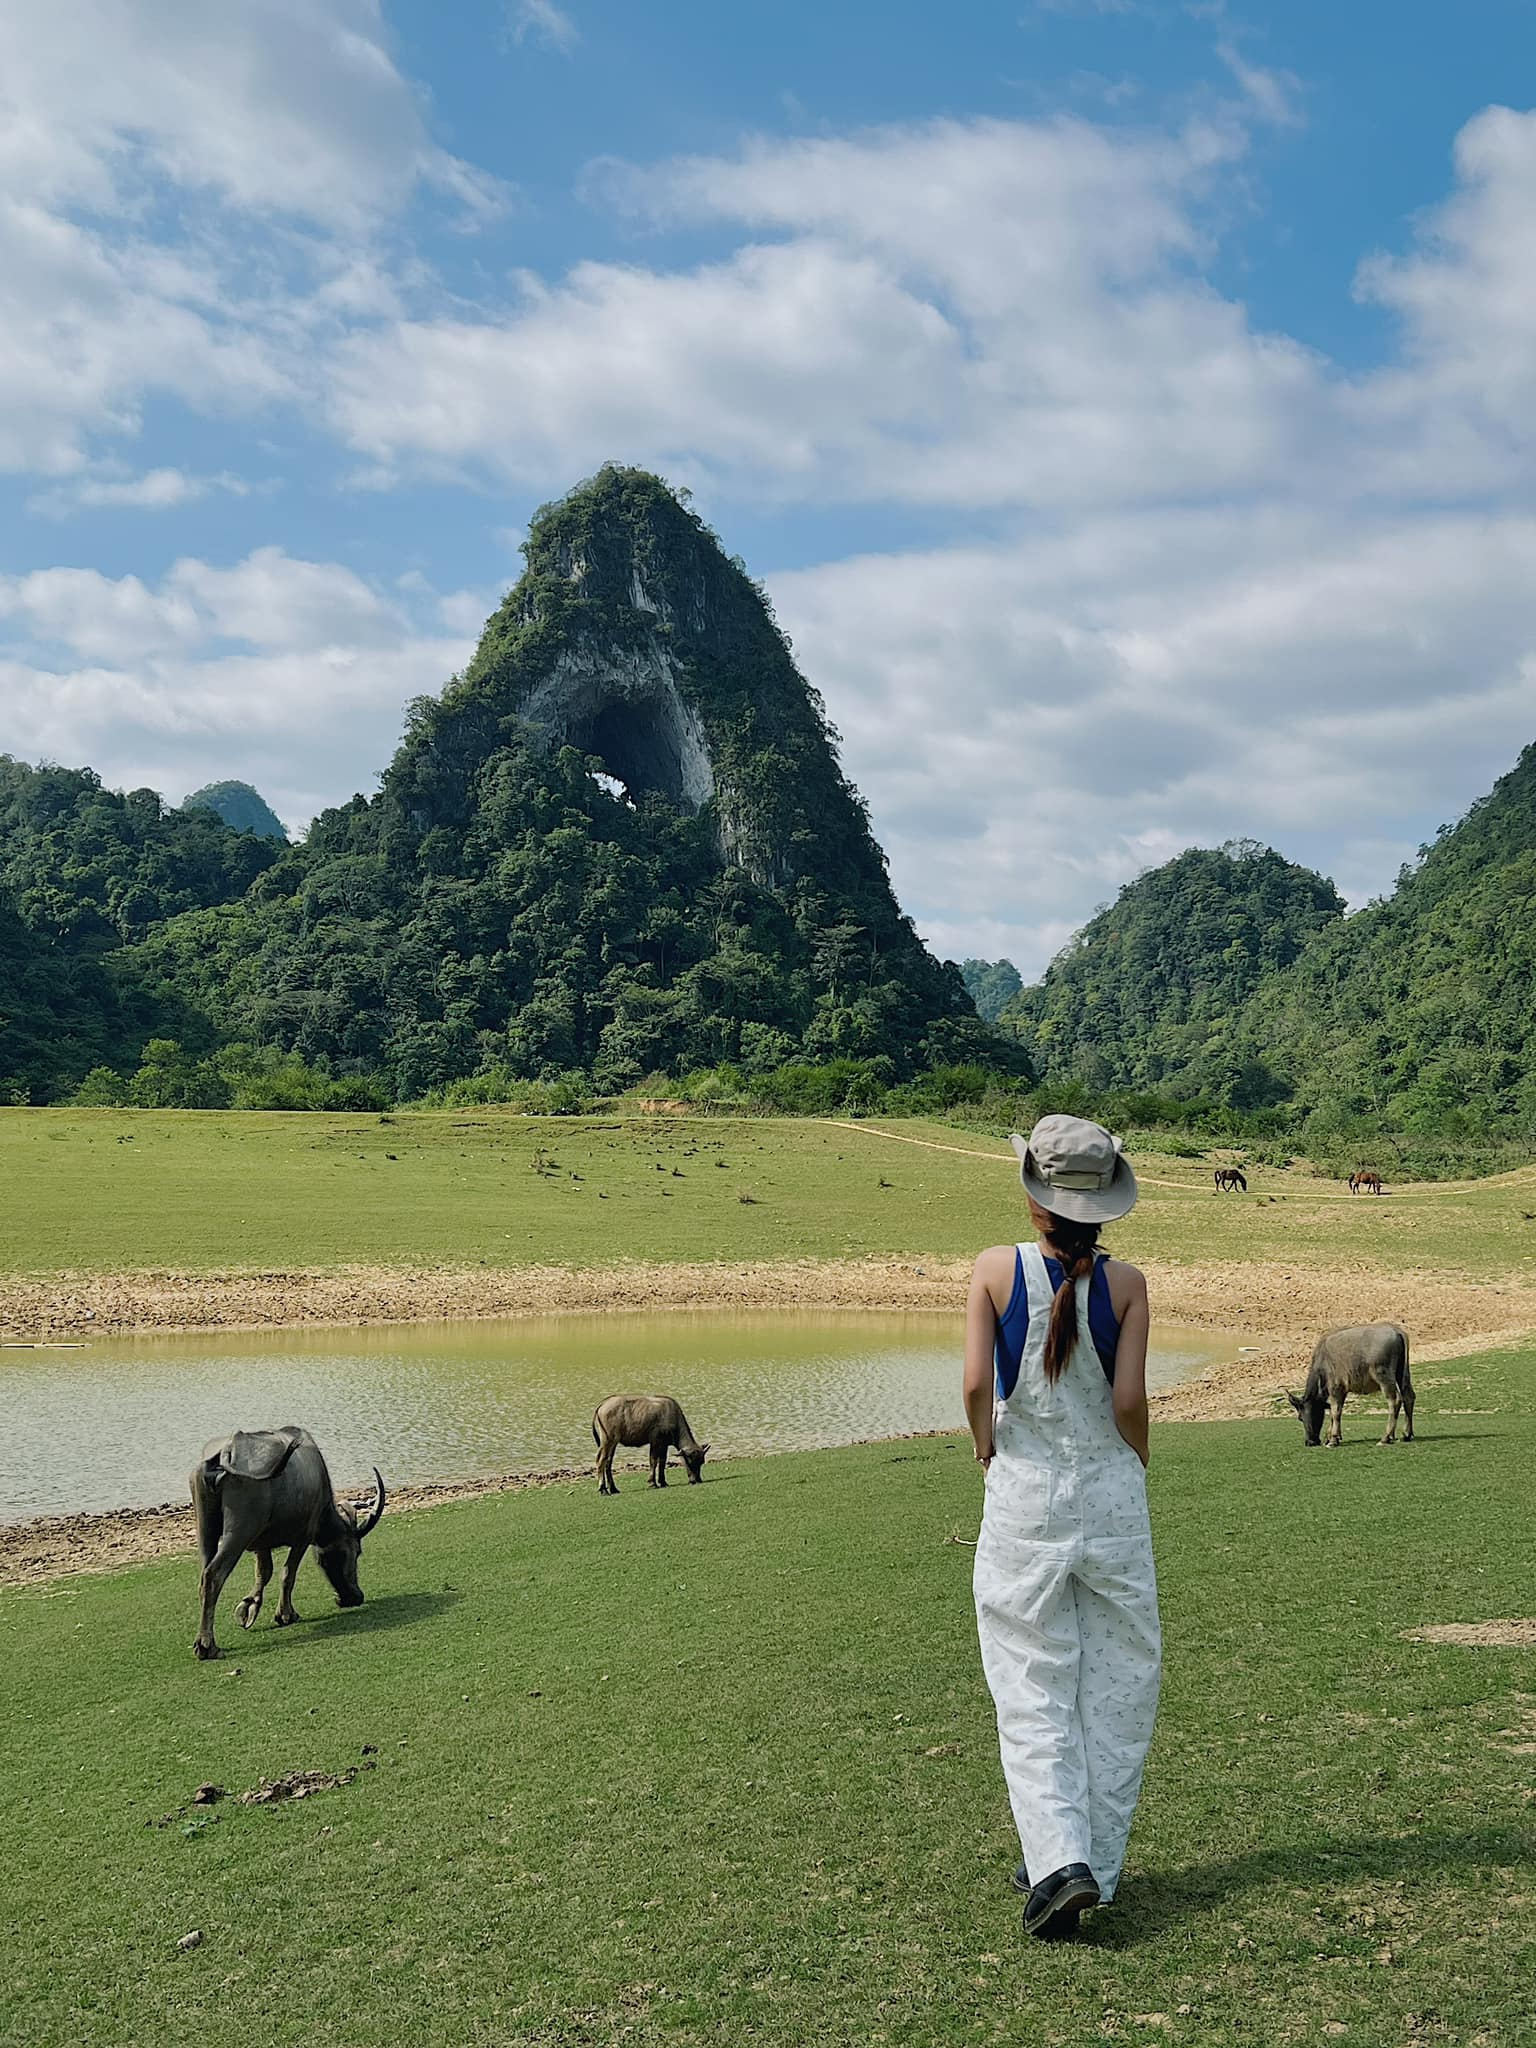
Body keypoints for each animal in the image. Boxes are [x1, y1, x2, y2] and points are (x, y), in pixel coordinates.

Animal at [190, 1433, 387, 1654]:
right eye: (355, 1551)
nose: (355, 1597)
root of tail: (226, 1453)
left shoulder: (261, 1543)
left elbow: (264, 1572)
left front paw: (249, 1608)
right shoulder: (304, 1537)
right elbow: (287, 1574)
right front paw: (285, 1614)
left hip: (206, 1529)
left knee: (203, 1575)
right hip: (239, 1532)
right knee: (213, 1575)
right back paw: (207, 1645)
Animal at [1286, 1318, 1417, 1449]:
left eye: (1301, 1417)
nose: (1310, 1442)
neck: (1323, 1361)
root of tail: (1396, 1331)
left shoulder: (1335, 1388)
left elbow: (1335, 1411)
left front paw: (1333, 1439)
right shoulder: (1342, 1391)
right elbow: (1336, 1412)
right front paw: (1332, 1437)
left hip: (1384, 1377)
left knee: (1394, 1400)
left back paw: (1385, 1437)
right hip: (1403, 1375)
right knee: (1408, 1396)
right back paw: (1406, 1434)